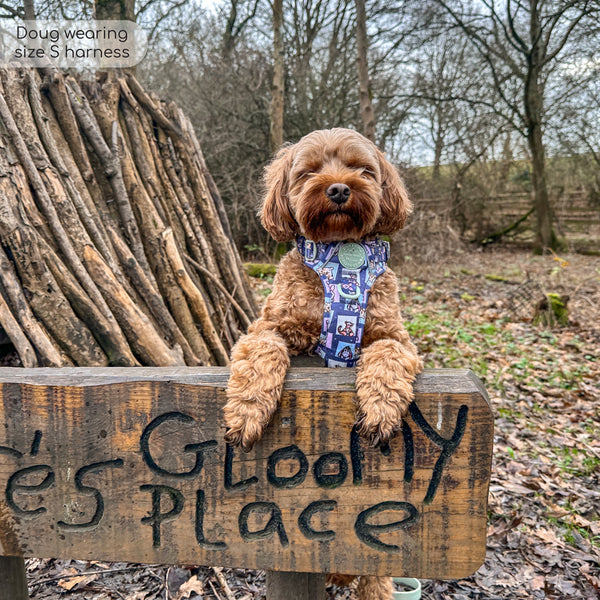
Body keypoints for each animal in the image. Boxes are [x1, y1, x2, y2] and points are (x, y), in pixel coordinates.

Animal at [223, 127, 424, 600]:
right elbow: (264, 354)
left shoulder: (396, 337)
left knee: (373, 571)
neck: (338, 257)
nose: (337, 189)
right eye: (309, 171)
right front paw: (247, 411)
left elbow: (386, 358)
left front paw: (381, 408)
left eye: (361, 169)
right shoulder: (267, 327)